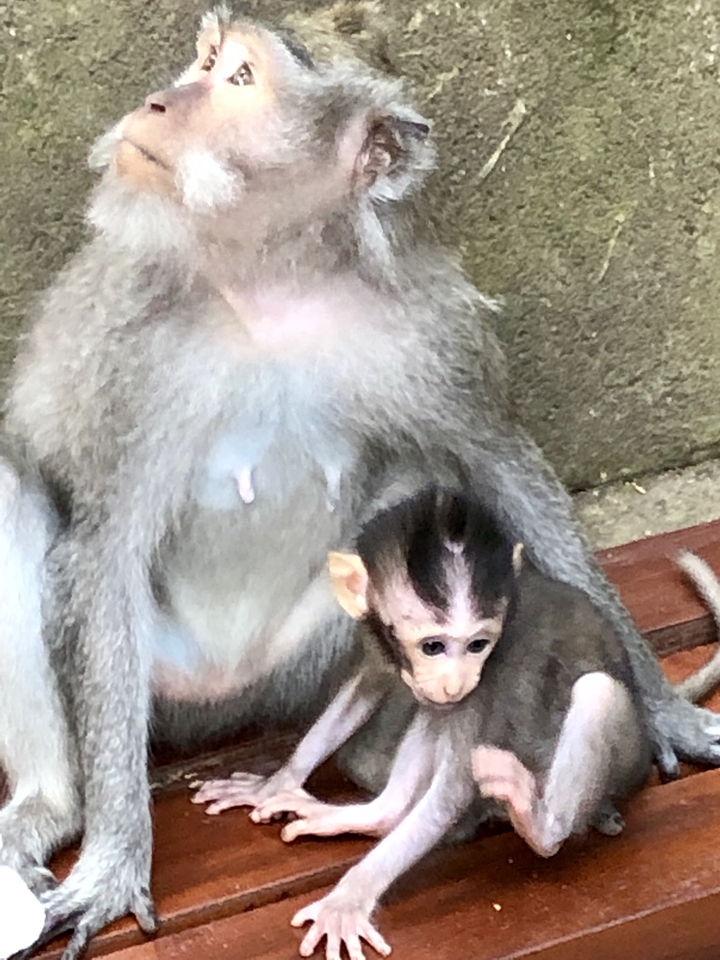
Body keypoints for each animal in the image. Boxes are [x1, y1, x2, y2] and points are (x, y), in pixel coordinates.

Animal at [195, 486, 720, 960]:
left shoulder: (483, 690)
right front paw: (275, 782)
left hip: (622, 763)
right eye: (433, 646)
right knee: (432, 715)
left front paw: (350, 897)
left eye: (477, 645)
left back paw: (540, 825)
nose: (456, 679)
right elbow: (364, 690)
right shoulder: (381, 648)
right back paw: (375, 814)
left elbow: (449, 798)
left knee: (596, 693)